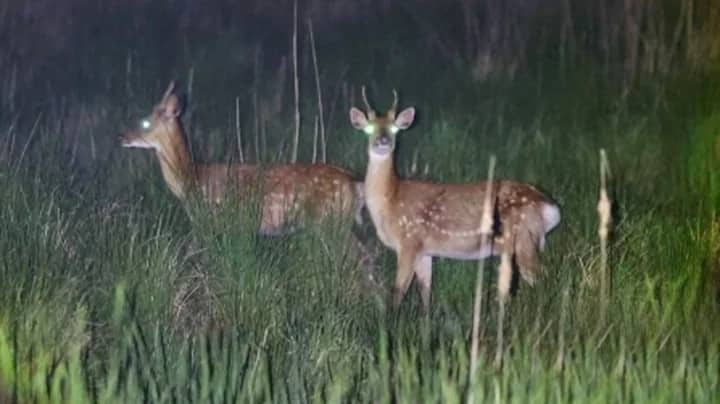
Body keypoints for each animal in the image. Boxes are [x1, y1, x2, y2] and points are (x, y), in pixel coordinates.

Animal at [121, 81, 372, 258]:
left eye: (145, 122)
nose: (122, 137)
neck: (191, 178)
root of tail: (357, 183)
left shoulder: (211, 220)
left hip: (330, 221)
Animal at [349, 88, 561, 312]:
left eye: (394, 129)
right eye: (369, 128)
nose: (383, 141)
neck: (390, 200)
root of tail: (550, 207)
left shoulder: (409, 241)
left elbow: (398, 292)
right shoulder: (425, 251)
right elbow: (426, 292)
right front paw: (426, 319)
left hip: (524, 239)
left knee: (543, 279)